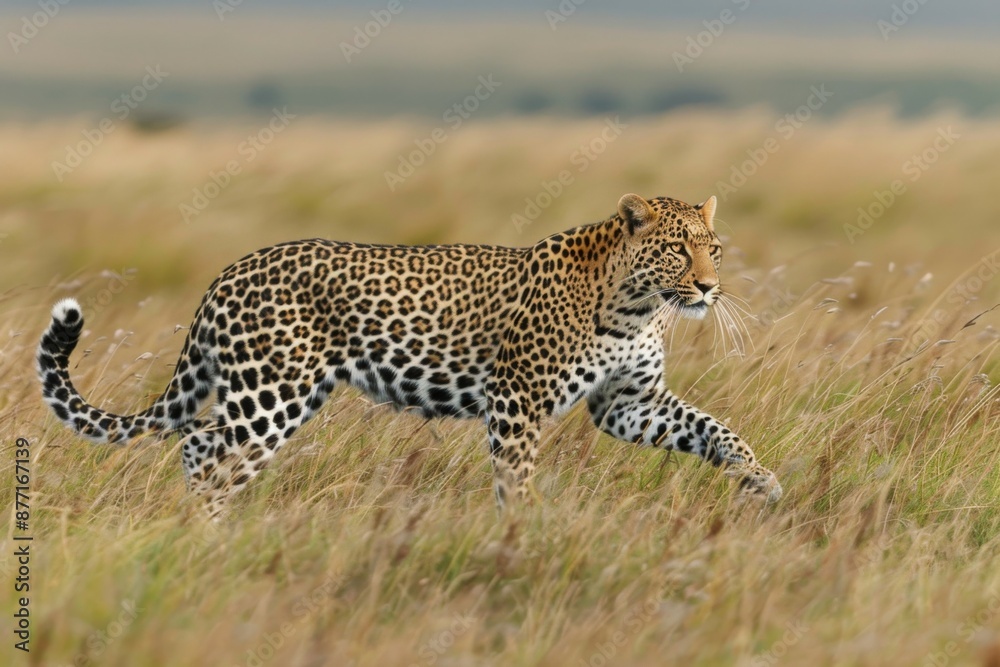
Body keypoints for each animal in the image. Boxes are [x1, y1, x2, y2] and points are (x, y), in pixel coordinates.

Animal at [37, 193, 782, 517]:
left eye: (714, 249)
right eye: (676, 250)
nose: (709, 288)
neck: (635, 304)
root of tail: (230, 271)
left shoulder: (627, 402)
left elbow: (711, 427)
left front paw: (758, 478)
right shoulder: (518, 399)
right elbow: (516, 474)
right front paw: (525, 533)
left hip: (287, 391)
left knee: (201, 442)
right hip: (270, 392)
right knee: (209, 448)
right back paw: (209, 529)